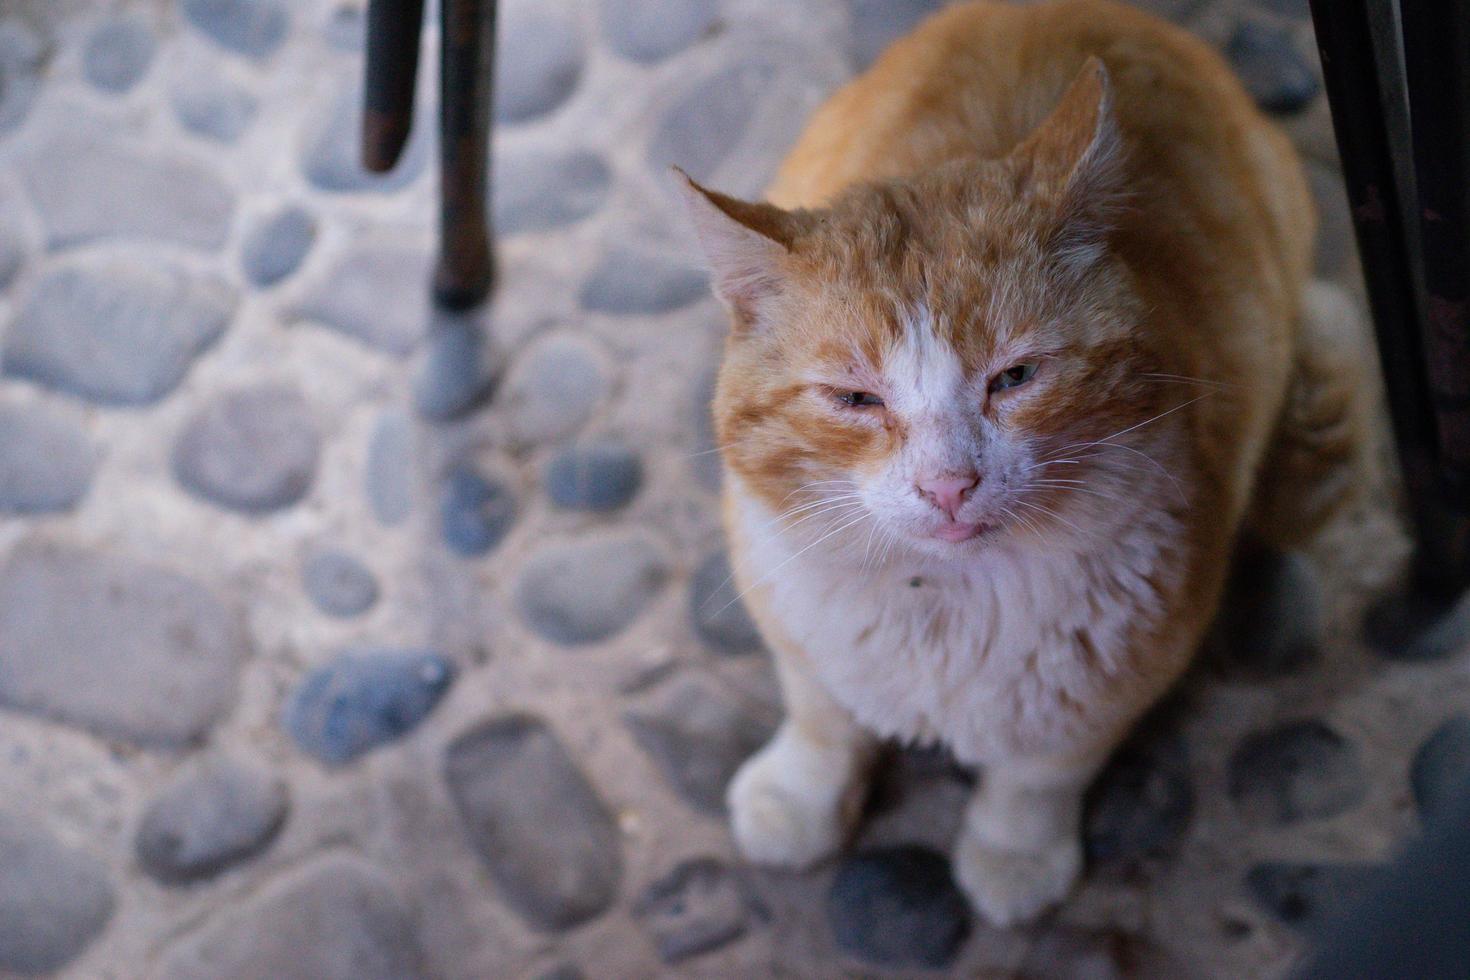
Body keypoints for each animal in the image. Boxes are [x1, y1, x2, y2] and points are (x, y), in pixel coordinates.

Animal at [673, 0, 1358, 928]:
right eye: (855, 398)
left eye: (1015, 377)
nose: (947, 484)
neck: (940, 605)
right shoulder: (789, 610)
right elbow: (821, 714)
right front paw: (800, 797)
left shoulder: (1119, 673)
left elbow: (1039, 773)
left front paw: (1013, 855)